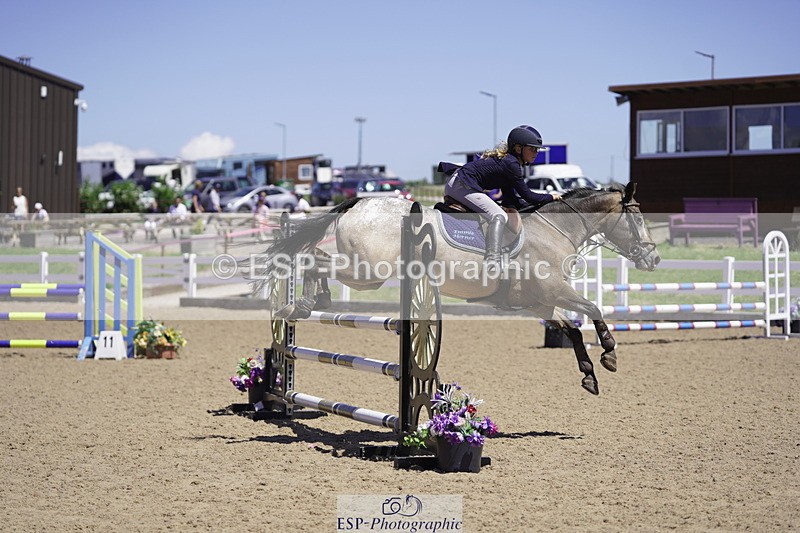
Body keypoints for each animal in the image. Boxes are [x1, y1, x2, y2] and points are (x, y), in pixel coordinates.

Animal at [259, 182, 660, 395]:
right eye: (639, 217)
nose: (653, 258)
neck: (554, 229)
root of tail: (360, 203)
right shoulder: (553, 291)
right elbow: (592, 309)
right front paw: (609, 353)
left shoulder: (540, 303)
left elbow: (573, 330)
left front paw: (590, 375)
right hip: (368, 270)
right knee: (314, 259)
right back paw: (306, 302)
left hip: (365, 271)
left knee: (314, 257)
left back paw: (307, 303)